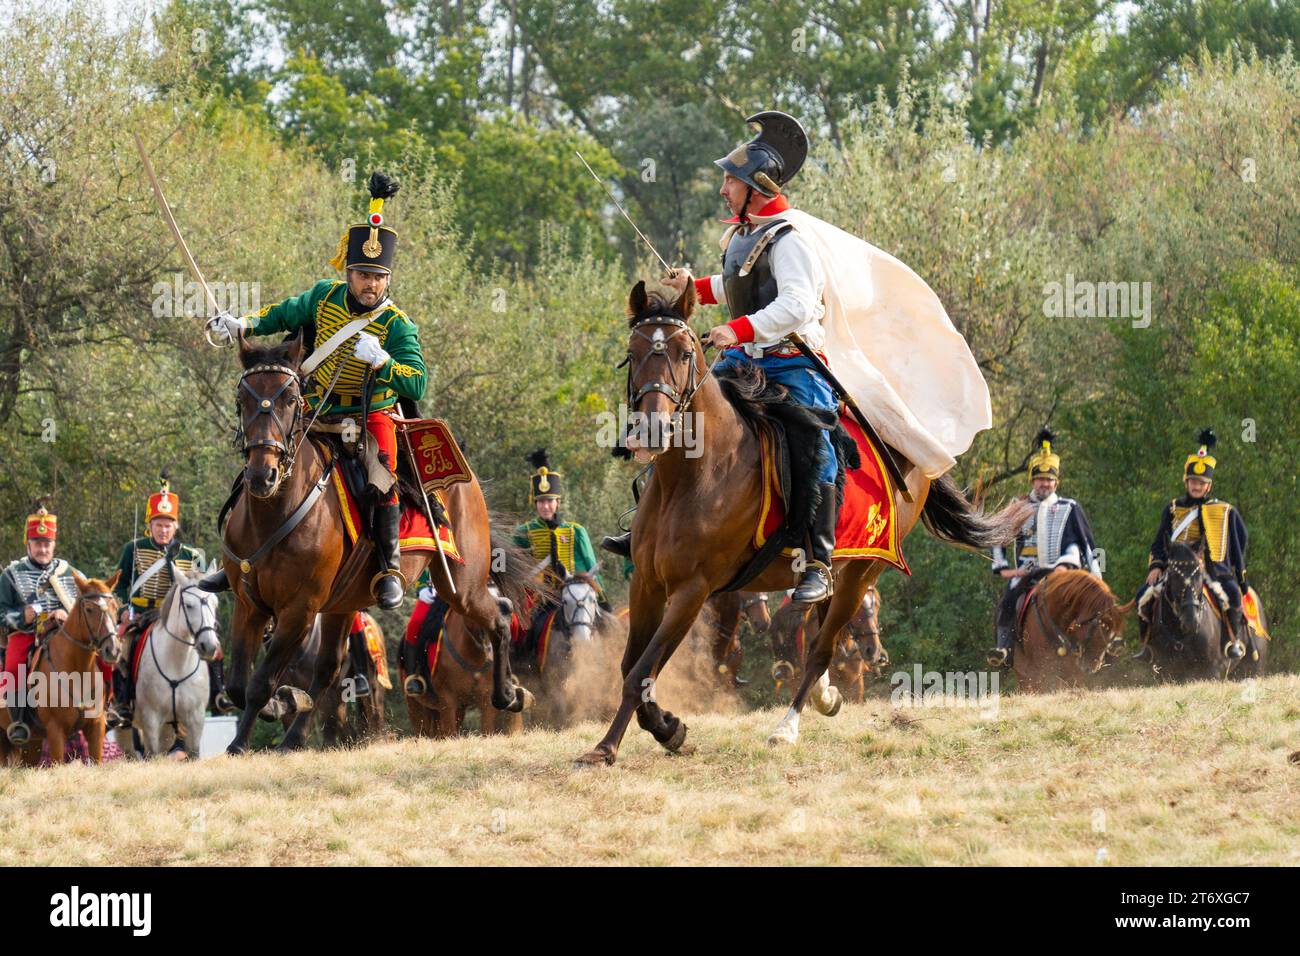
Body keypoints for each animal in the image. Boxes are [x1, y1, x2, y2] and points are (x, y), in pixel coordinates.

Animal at [0, 572, 122, 764]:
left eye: (115, 607)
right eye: (89, 609)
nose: (113, 649)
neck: (78, 671)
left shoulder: (96, 727)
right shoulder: (55, 730)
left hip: (31, 744)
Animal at [125, 567, 219, 764]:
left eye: (215, 604)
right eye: (189, 605)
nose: (209, 646)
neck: (177, 664)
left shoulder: (195, 719)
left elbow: (193, 754)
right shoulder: (151, 720)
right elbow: (152, 754)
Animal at [218, 335, 527, 754]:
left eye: (291, 399)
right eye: (243, 398)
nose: (261, 475)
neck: (273, 514)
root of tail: (468, 482)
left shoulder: (299, 610)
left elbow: (260, 682)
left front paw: (241, 741)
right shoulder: (249, 603)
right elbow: (238, 684)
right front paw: (277, 708)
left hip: (460, 586)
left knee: (499, 615)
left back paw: (508, 694)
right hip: (343, 604)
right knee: (329, 670)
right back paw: (294, 736)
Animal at [574, 280, 1029, 764]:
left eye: (683, 353)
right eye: (634, 351)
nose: (651, 430)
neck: (694, 474)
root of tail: (912, 459)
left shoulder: (691, 591)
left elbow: (640, 672)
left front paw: (612, 746)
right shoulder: (647, 584)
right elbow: (630, 666)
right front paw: (663, 727)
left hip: (862, 571)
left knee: (820, 649)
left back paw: (788, 726)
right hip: (841, 569)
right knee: (822, 631)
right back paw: (826, 695)